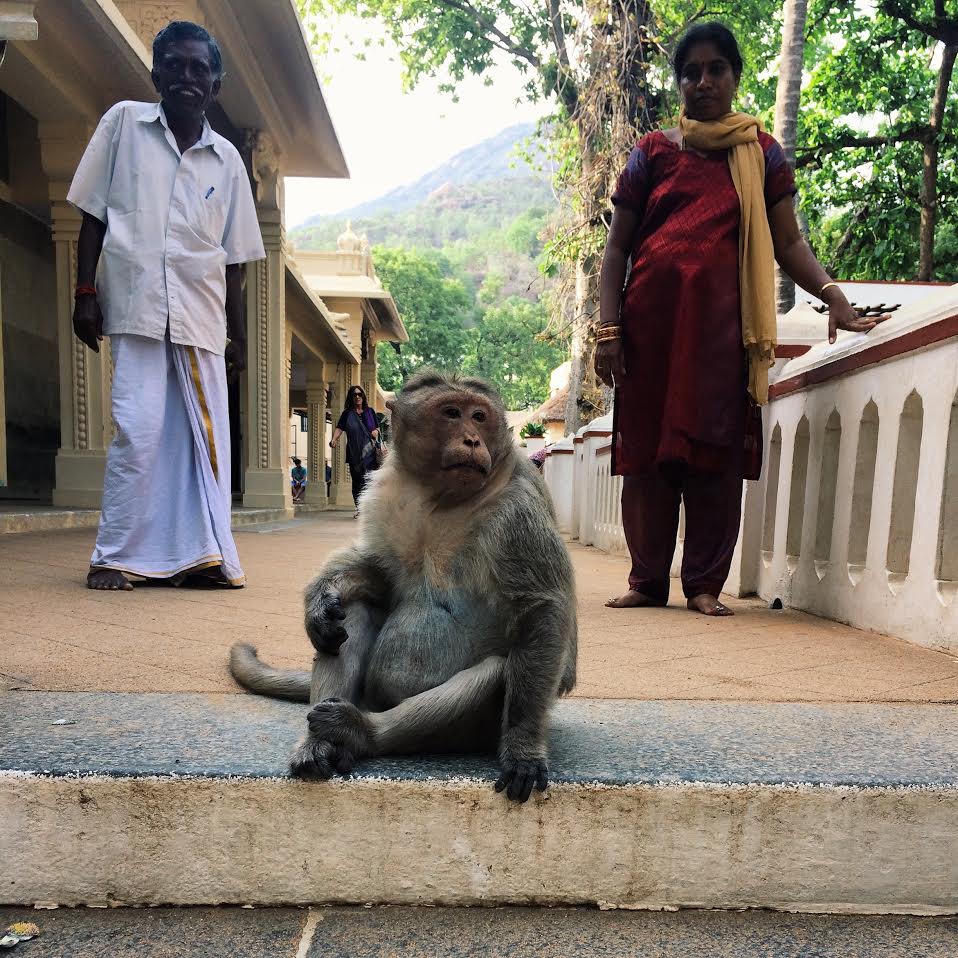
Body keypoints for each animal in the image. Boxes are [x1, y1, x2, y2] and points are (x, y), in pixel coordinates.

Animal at [229, 369, 577, 802]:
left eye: (480, 417)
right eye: (451, 412)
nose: (472, 440)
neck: (441, 499)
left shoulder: (519, 509)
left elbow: (542, 609)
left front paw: (523, 747)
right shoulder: (381, 492)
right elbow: (375, 574)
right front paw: (319, 601)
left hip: (471, 730)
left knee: (497, 671)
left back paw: (361, 733)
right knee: (350, 614)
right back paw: (319, 742)